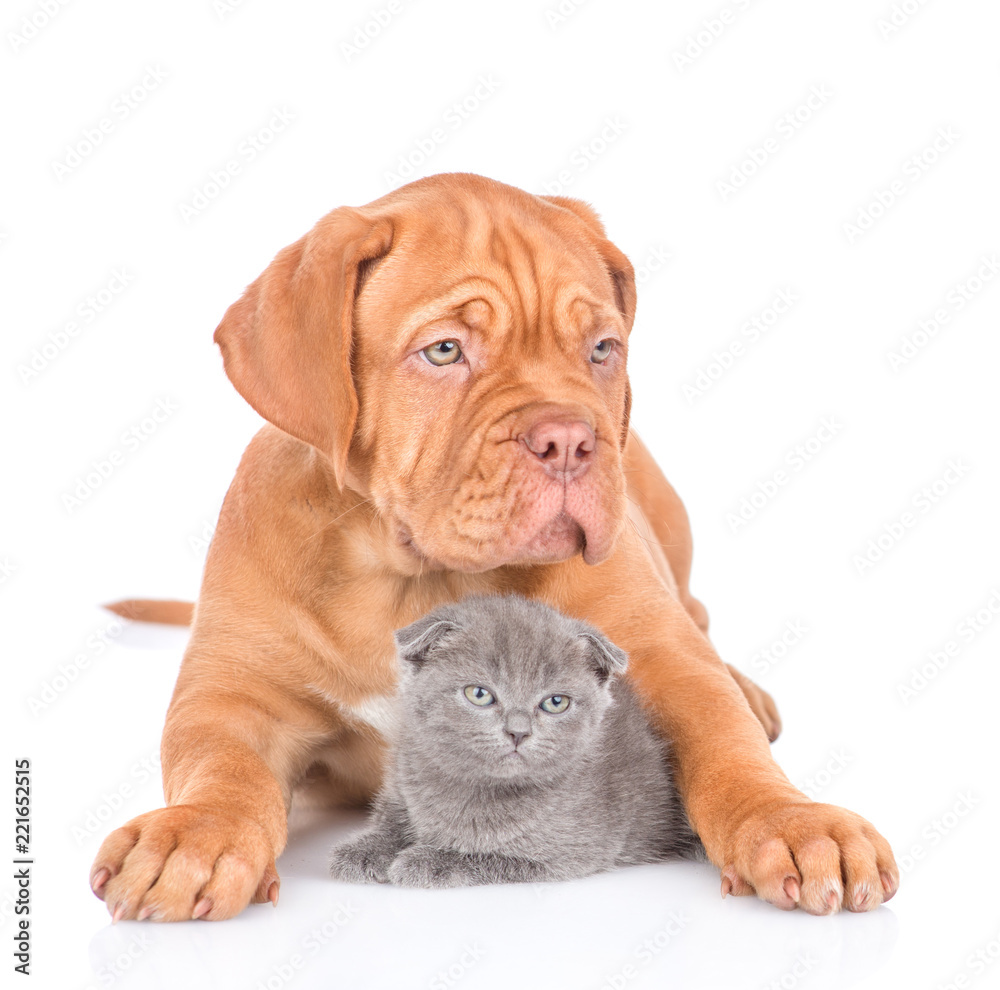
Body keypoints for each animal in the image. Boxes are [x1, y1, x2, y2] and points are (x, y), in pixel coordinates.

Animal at [330, 592, 704, 888]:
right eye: (479, 694)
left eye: (556, 702)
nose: (518, 731)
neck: (474, 788)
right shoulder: (399, 783)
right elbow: (389, 819)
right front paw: (363, 850)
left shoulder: (567, 853)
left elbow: (489, 856)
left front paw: (425, 860)